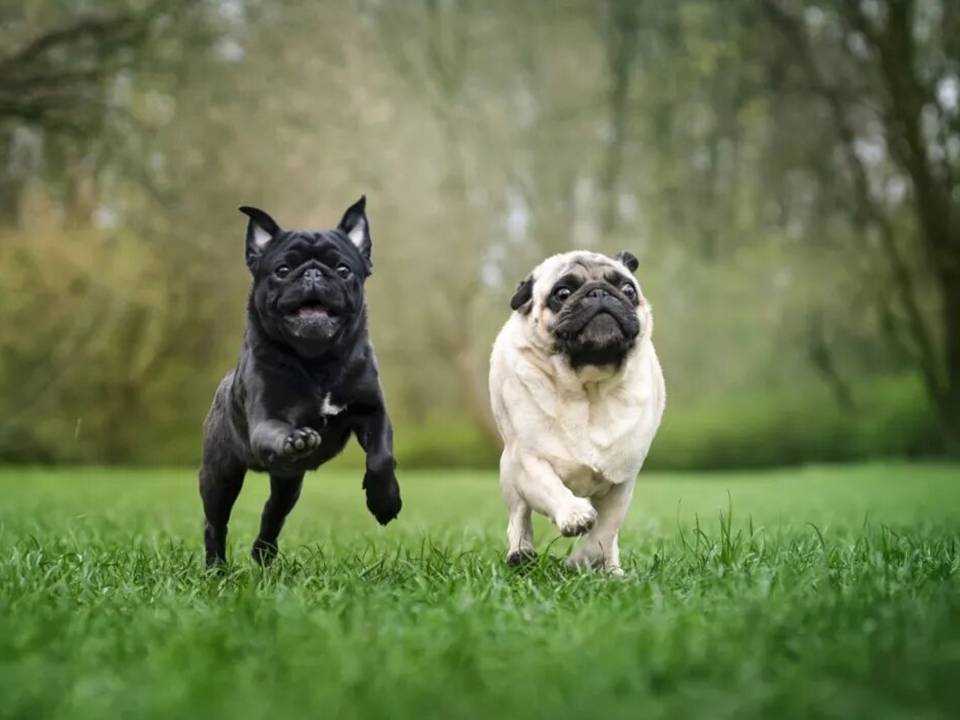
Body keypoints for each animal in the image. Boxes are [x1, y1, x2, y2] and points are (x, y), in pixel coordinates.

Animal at [200, 197, 402, 568]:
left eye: (343, 270)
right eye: (281, 270)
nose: (312, 273)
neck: (318, 360)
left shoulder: (373, 412)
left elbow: (381, 458)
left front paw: (385, 502)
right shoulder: (267, 417)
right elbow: (278, 430)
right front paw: (296, 438)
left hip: (289, 482)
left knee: (273, 512)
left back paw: (263, 554)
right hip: (219, 474)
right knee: (215, 521)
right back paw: (216, 568)